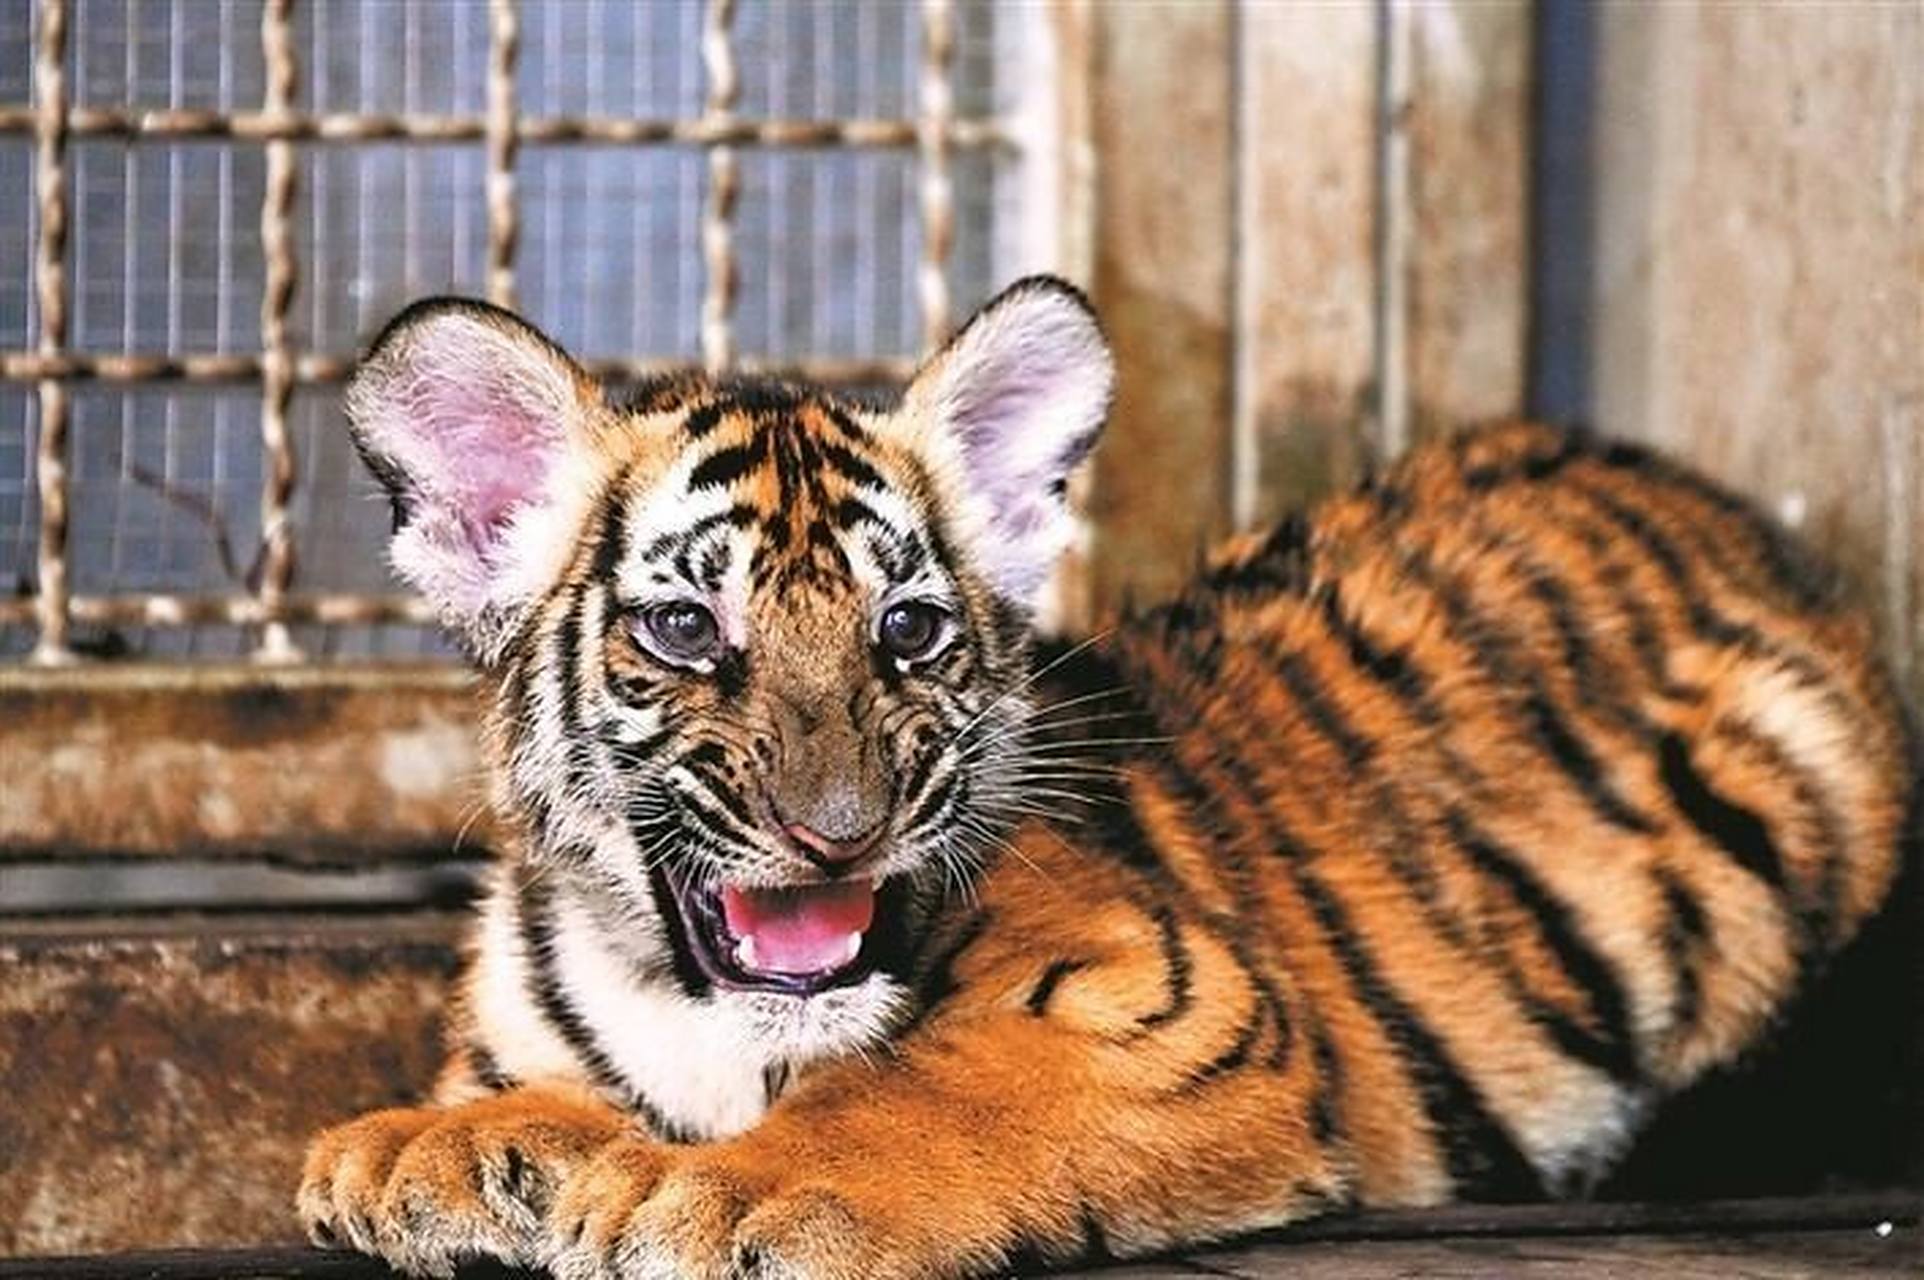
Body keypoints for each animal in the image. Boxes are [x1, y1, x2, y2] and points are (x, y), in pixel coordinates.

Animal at [298, 276, 1917, 1280]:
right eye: (687, 629)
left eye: (909, 629)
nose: (839, 837)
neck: (693, 1006)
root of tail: (1708, 503)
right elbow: (534, 1093)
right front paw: (420, 1151)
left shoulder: (1183, 1007)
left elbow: (917, 1092)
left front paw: (706, 1191)